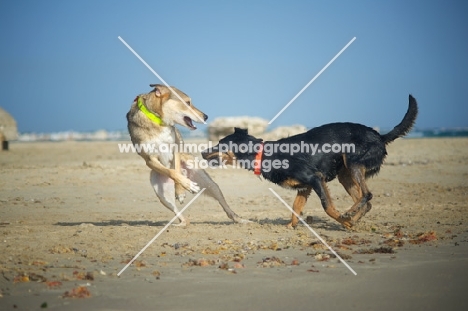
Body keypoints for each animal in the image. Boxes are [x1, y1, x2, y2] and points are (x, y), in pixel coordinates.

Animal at [124, 84, 249, 227]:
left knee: (225, 205)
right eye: (187, 103)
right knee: (179, 213)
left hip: (209, 183)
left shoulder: (175, 147)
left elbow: (176, 169)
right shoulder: (150, 160)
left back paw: (240, 219)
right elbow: (172, 172)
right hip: (161, 194)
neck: (157, 120)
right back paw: (179, 222)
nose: (206, 116)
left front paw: (181, 191)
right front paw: (185, 186)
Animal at [201, 95, 416, 229]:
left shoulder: (315, 178)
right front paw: (290, 226)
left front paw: (342, 220)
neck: (265, 154)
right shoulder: (305, 187)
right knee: (366, 201)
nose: (202, 153)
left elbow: (327, 206)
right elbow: (295, 208)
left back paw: (349, 216)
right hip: (345, 174)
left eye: (220, 144)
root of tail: (380, 136)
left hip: (353, 162)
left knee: (367, 195)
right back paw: (353, 216)